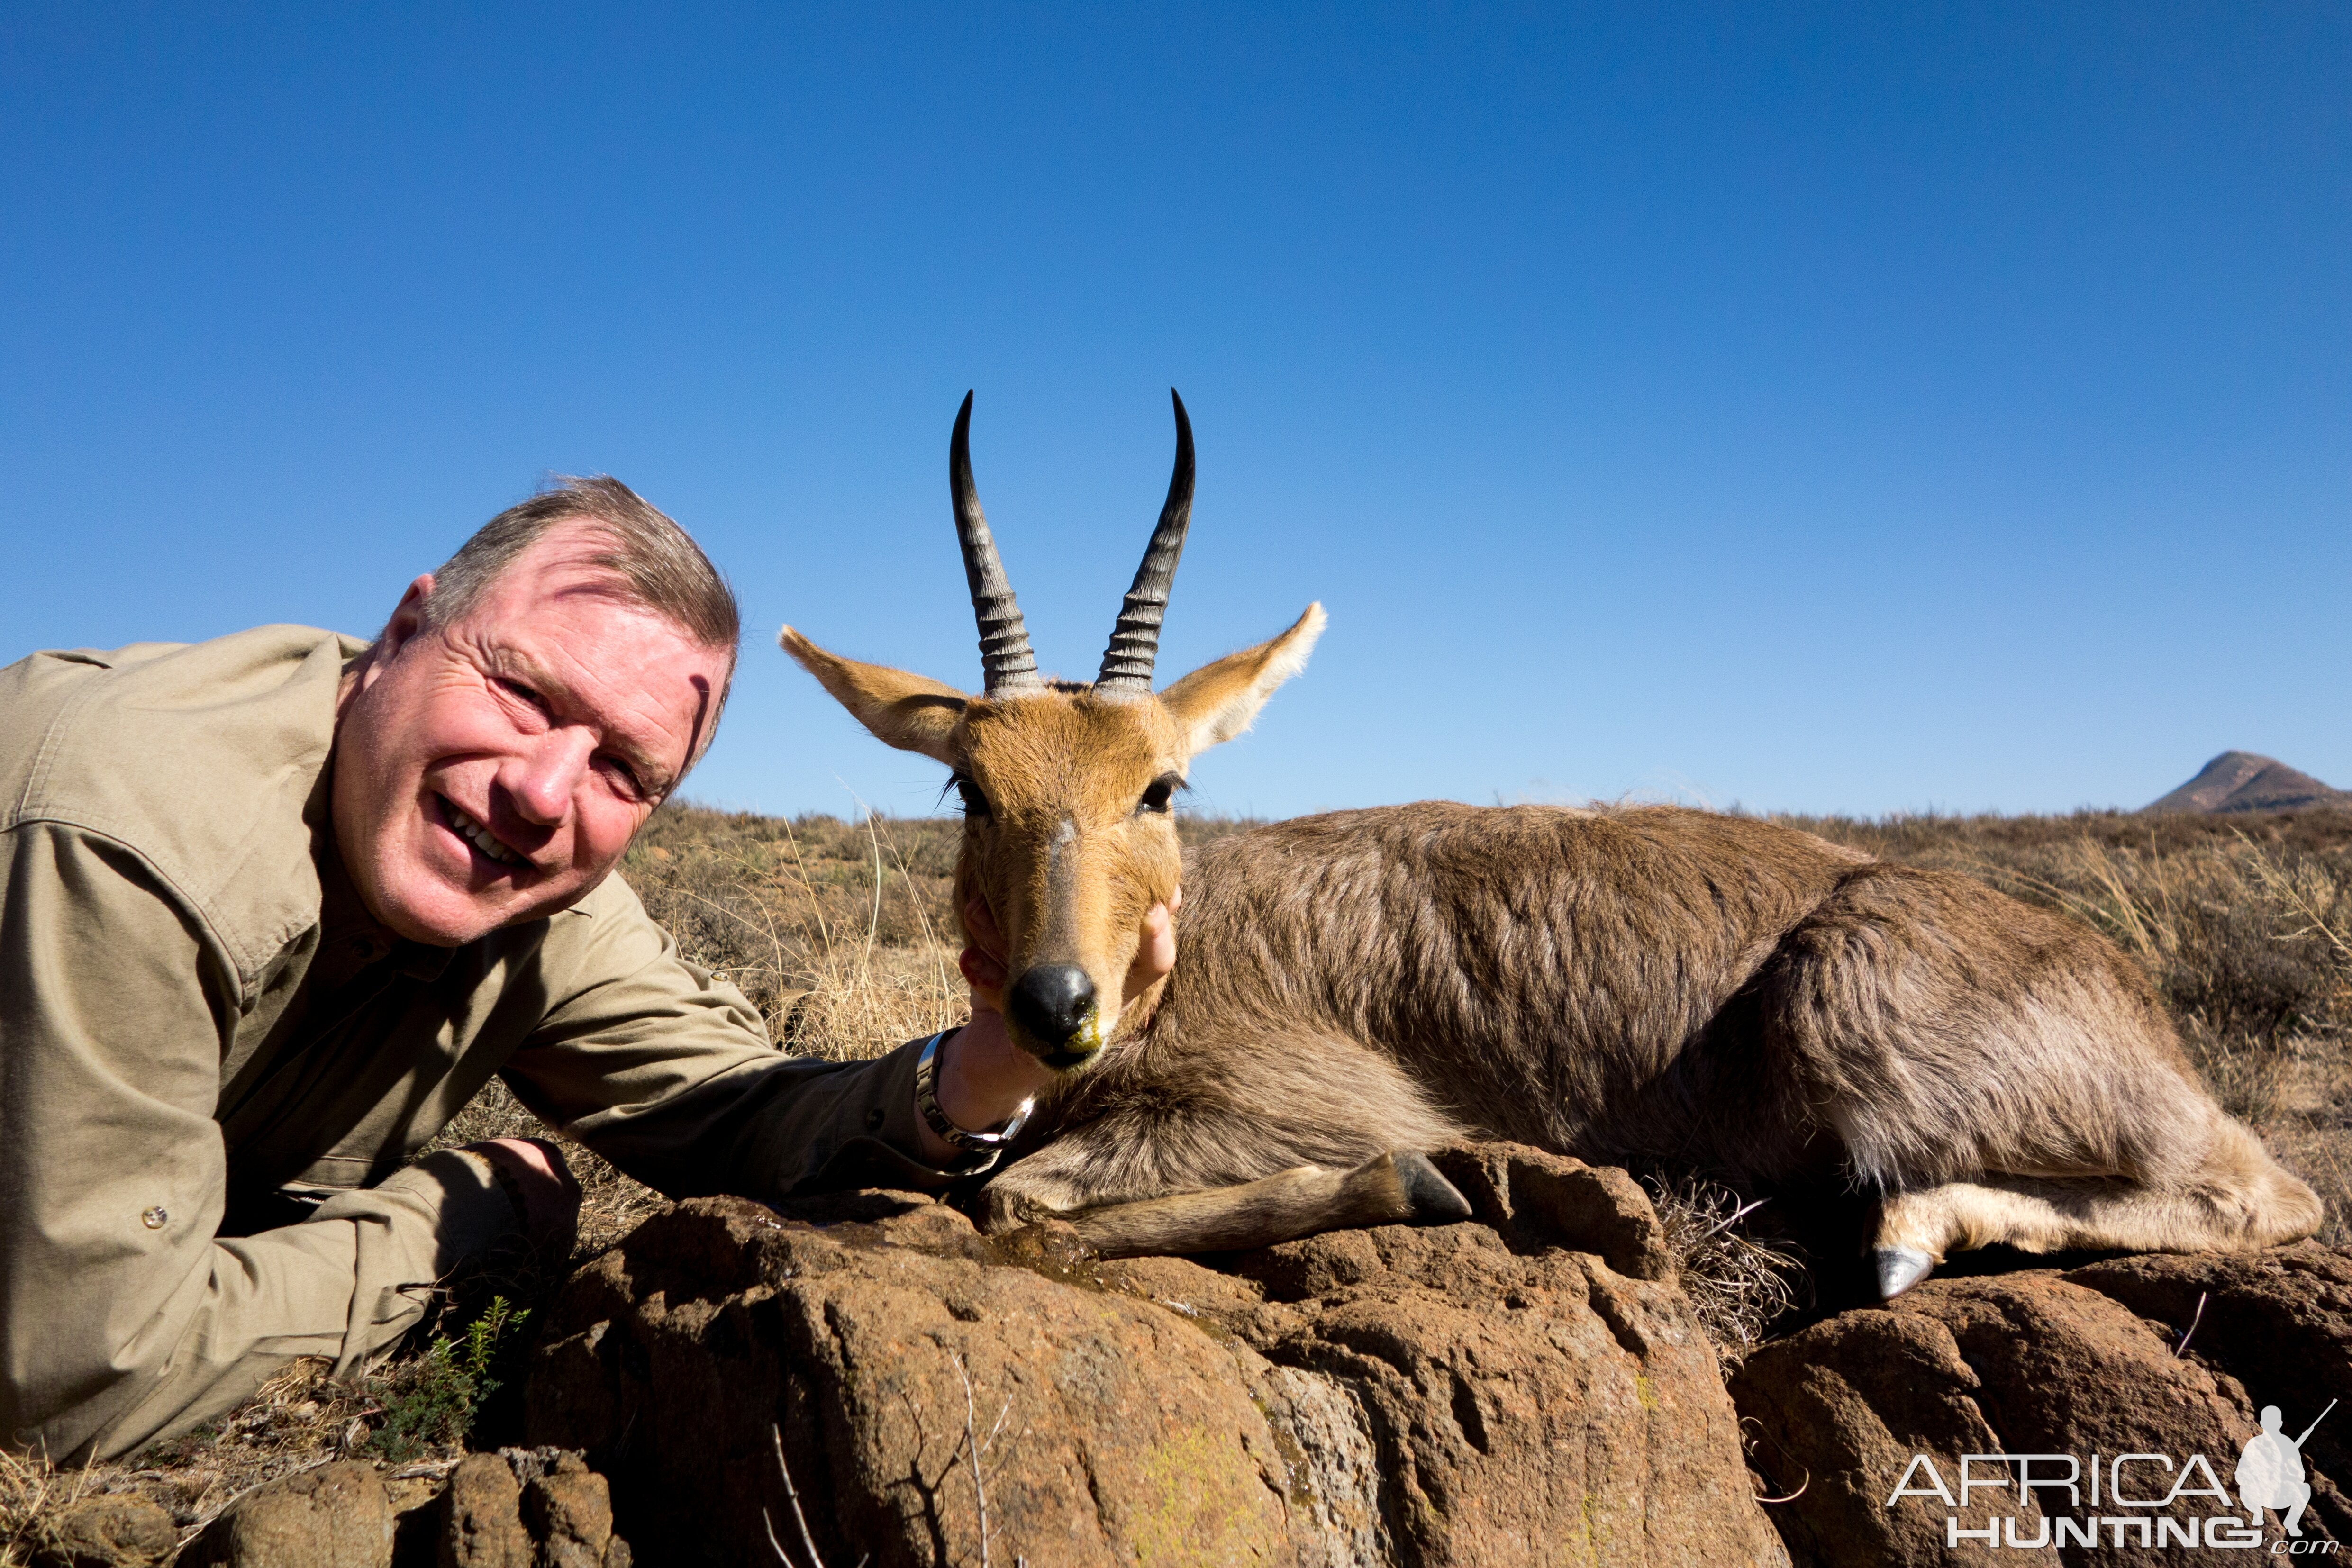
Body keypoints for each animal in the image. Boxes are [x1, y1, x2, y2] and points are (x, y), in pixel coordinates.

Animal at [781, 392, 2324, 1297]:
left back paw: (1903, 1234)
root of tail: (2121, 989)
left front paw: (1413, 1180)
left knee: (2277, 1190)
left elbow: (1017, 1199)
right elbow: (1008, 1190)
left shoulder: (1311, 1099)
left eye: (1163, 785)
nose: (1056, 1005)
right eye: (968, 787)